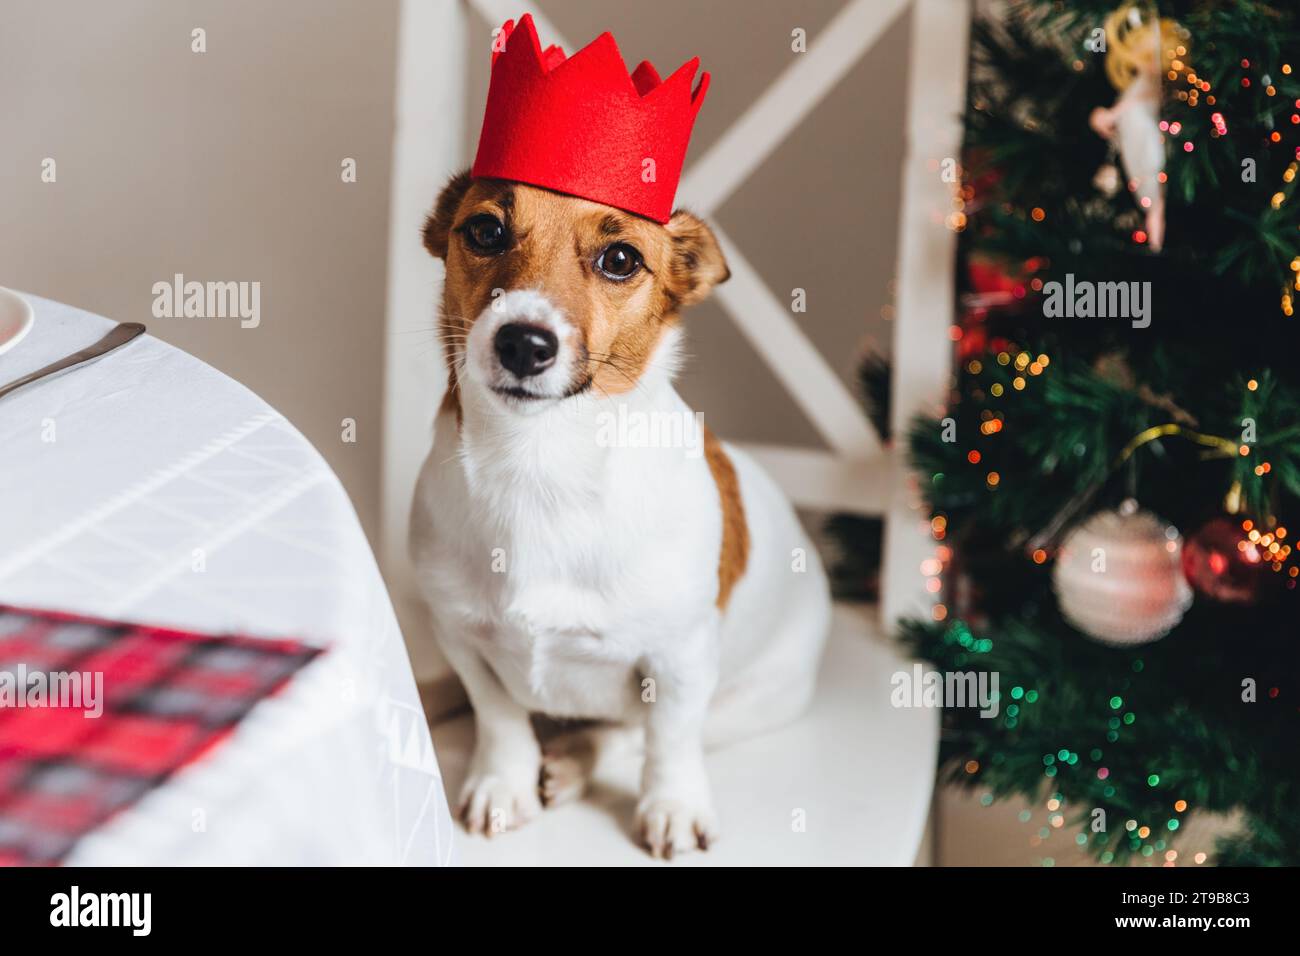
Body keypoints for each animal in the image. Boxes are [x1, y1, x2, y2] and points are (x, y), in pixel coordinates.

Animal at [408, 170, 832, 858]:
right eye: (486, 230)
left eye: (621, 259)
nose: (523, 342)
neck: (540, 461)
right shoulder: (460, 637)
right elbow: (499, 717)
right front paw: (504, 785)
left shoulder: (681, 661)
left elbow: (669, 739)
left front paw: (674, 806)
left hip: (757, 699)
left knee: (632, 733)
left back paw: (575, 759)